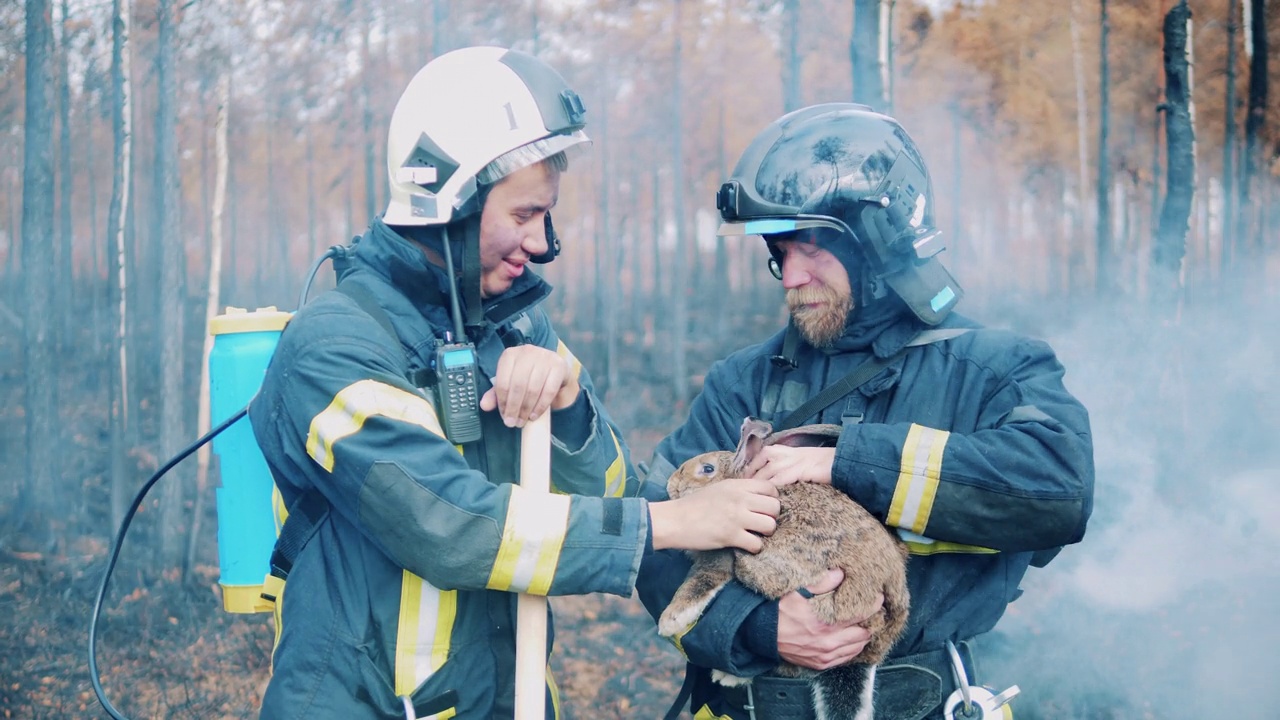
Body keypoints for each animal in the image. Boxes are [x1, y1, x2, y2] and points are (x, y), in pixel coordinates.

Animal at [660, 415, 911, 717]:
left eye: (707, 469)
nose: (671, 485)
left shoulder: (719, 554)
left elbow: (698, 584)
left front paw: (669, 622)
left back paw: (728, 675)